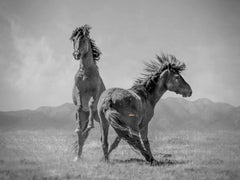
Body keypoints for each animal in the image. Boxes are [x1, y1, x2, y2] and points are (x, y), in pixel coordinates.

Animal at [69, 24, 105, 161]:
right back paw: (77, 157)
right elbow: (80, 106)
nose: (76, 54)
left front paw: (90, 125)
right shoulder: (79, 91)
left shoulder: (94, 91)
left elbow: (90, 103)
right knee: (82, 137)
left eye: (83, 39)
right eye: (74, 39)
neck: (86, 72)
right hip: (83, 116)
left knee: (101, 136)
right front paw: (78, 128)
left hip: (98, 117)